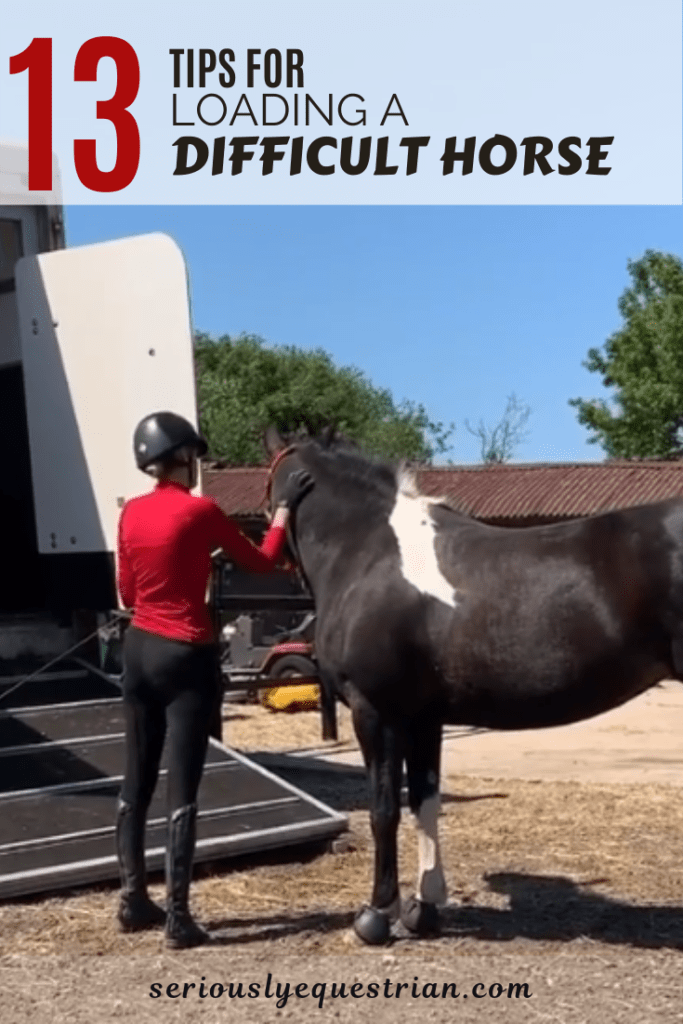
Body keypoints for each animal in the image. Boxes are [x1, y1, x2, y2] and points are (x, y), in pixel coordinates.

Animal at [264, 426, 683, 945]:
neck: (369, 554)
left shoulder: (375, 713)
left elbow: (384, 809)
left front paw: (376, 915)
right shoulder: (423, 718)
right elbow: (424, 803)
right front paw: (423, 909)